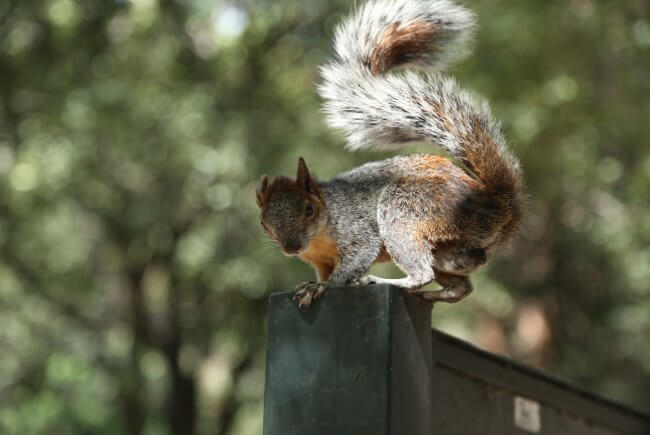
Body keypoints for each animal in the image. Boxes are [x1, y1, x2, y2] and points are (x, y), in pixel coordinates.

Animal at [253, 0, 520, 310]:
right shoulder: (320, 261)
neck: (321, 232)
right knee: (461, 285)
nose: (291, 247)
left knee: (422, 272)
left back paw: (386, 281)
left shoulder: (356, 230)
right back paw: (431, 294)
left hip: (404, 213)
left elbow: (353, 262)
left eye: (309, 209)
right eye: (263, 221)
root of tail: (496, 204)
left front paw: (322, 287)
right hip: (448, 251)